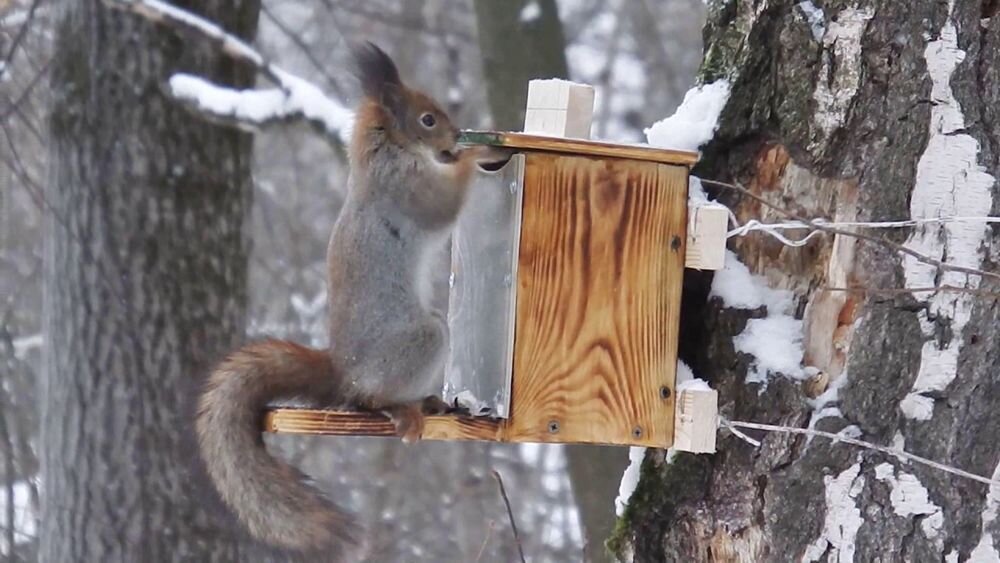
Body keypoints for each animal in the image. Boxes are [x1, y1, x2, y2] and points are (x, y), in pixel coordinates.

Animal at [195, 41, 508, 556]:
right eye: (426, 119)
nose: (456, 134)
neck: (384, 157)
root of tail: (343, 372)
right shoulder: (407, 190)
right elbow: (442, 203)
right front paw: (476, 153)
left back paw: (429, 403)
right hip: (417, 342)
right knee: (372, 398)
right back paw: (404, 409)